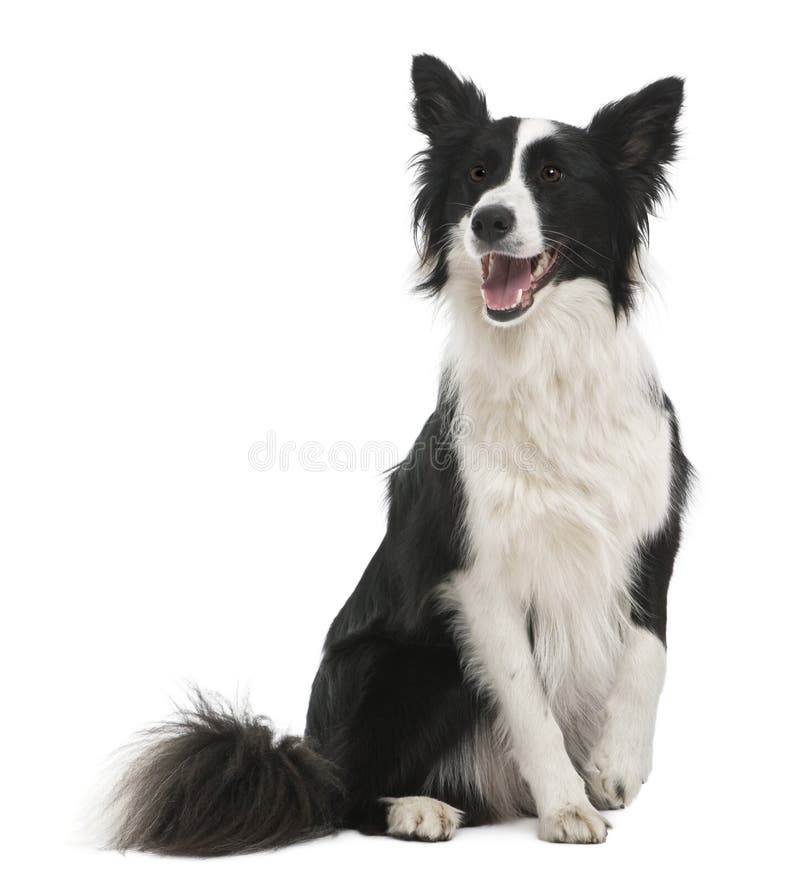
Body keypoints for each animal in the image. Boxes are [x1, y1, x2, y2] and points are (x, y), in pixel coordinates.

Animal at [109, 53, 692, 848]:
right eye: (477, 174)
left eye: (553, 176)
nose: (489, 220)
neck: (546, 359)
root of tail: (306, 752)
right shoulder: (478, 578)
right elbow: (530, 702)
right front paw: (567, 805)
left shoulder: (652, 531)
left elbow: (647, 653)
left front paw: (616, 766)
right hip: (407, 659)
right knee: (346, 796)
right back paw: (416, 808)